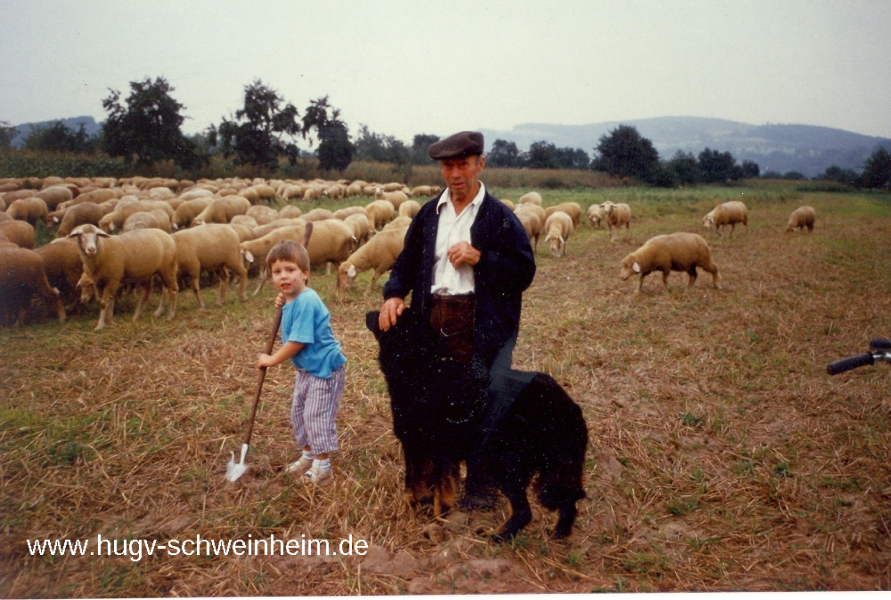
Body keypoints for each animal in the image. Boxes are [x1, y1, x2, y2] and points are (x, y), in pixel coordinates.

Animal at [366, 309, 588, 541]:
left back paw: (496, 537)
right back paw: (559, 533)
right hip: (552, 470)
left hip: (506, 464)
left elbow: (418, 486)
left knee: (523, 511)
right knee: (568, 502)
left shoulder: (424, 446)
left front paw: (431, 517)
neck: (422, 368)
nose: (369, 313)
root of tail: (569, 407)